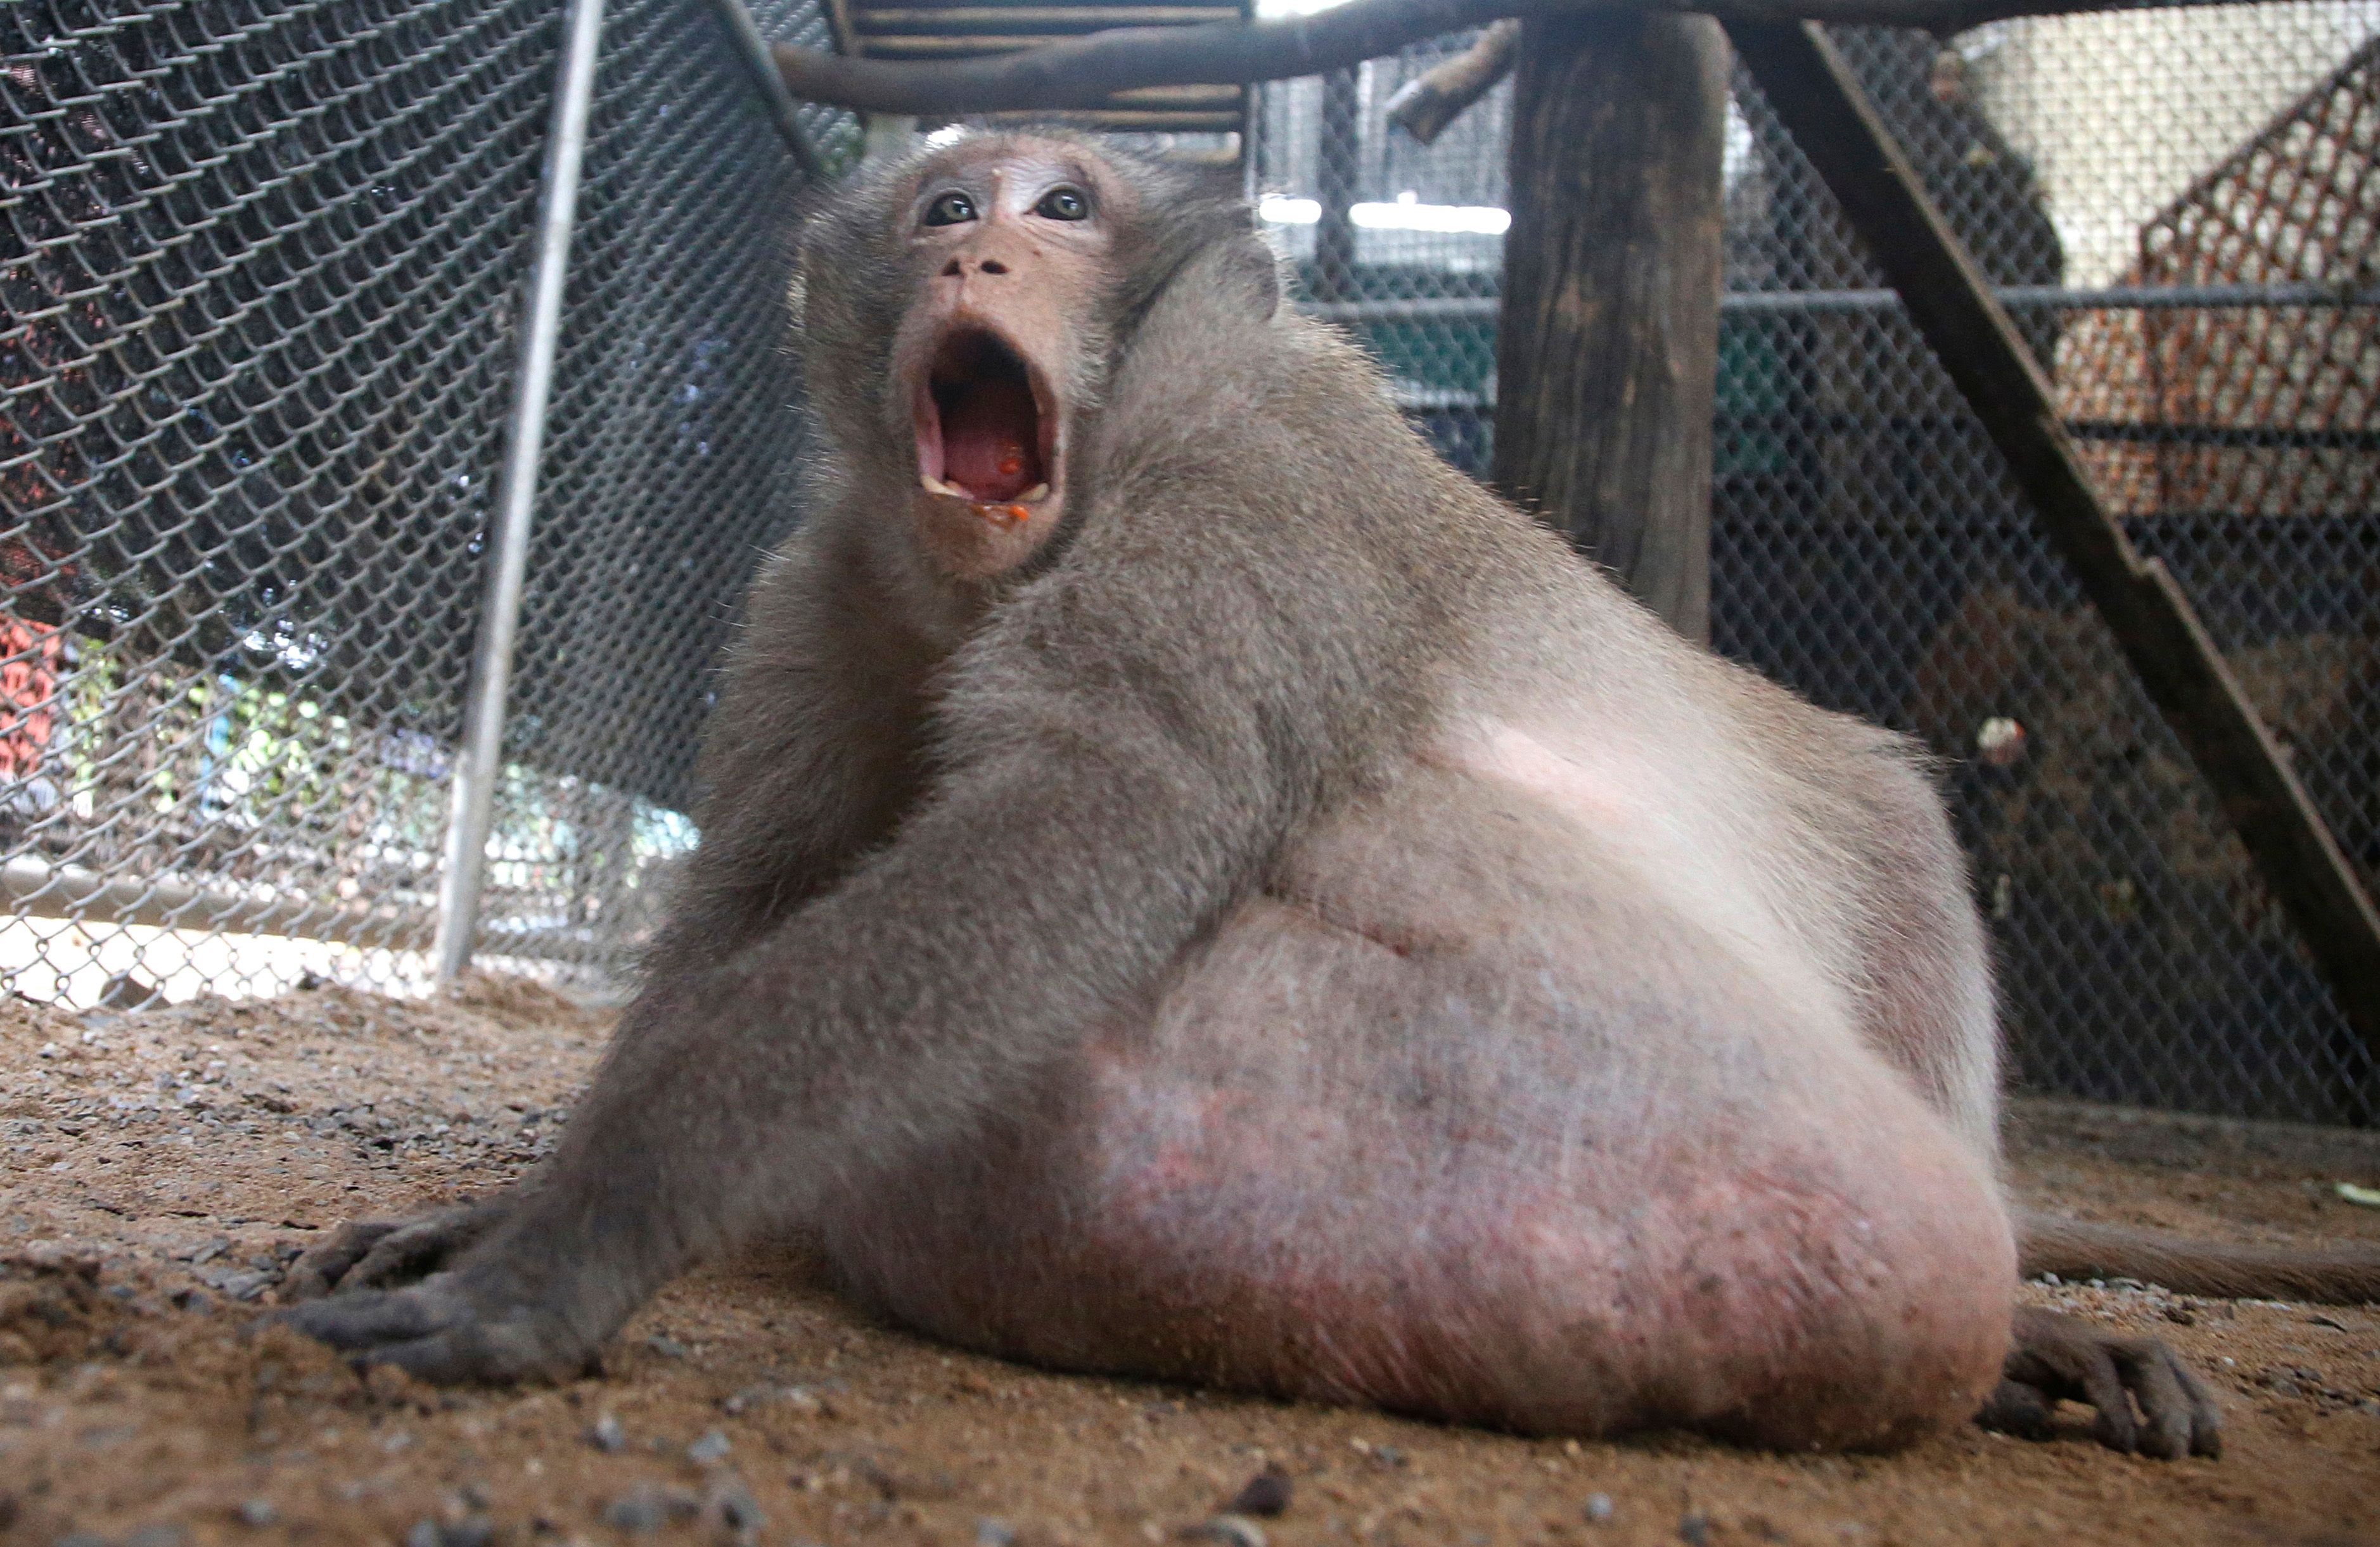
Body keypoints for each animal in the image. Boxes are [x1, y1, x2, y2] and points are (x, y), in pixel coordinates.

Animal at [283, 129, 2375, 1459]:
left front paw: (575, 1238)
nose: (975, 253)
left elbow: (1108, 809)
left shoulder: (1246, 499)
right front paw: (502, 1203)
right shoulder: (831, 594)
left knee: (1888, 824)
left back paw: (2028, 1317)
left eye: (1062, 205)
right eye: (948, 202)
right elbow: (761, 891)